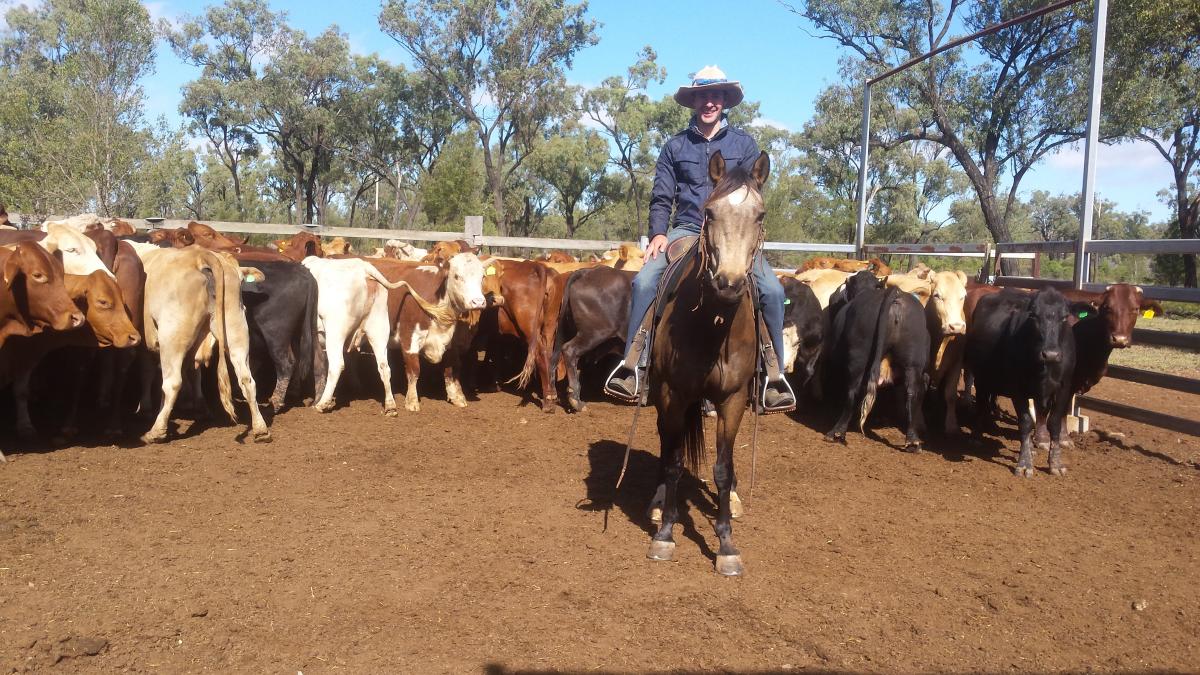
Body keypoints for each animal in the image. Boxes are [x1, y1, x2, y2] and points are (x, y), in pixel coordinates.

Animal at [235, 257, 324, 410]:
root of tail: (301, 270)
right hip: (308, 328)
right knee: (318, 360)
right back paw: (317, 401)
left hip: (275, 331)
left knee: (286, 364)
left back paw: (276, 403)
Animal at [648, 149, 768, 576]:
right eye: (710, 212)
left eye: (760, 215)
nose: (729, 283)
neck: (713, 325)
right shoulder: (674, 393)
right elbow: (673, 460)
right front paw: (665, 533)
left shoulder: (733, 400)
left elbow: (722, 468)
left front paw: (727, 543)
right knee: (667, 443)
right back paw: (657, 503)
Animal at [825, 269, 926, 451]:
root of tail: (894, 295)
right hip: (914, 362)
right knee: (912, 393)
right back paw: (913, 441)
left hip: (859, 357)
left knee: (853, 391)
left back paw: (836, 432)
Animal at [964, 285, 1080, 475]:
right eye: (1033, 315)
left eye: (1064, 317)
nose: (1051, 354)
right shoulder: (1017, 389)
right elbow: (1025, 422)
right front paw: (1024, 463)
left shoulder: (1064, 388)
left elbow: (1054, 423)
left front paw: (1055, 463)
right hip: (981, 377)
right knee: (981, 403)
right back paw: (976, 436)